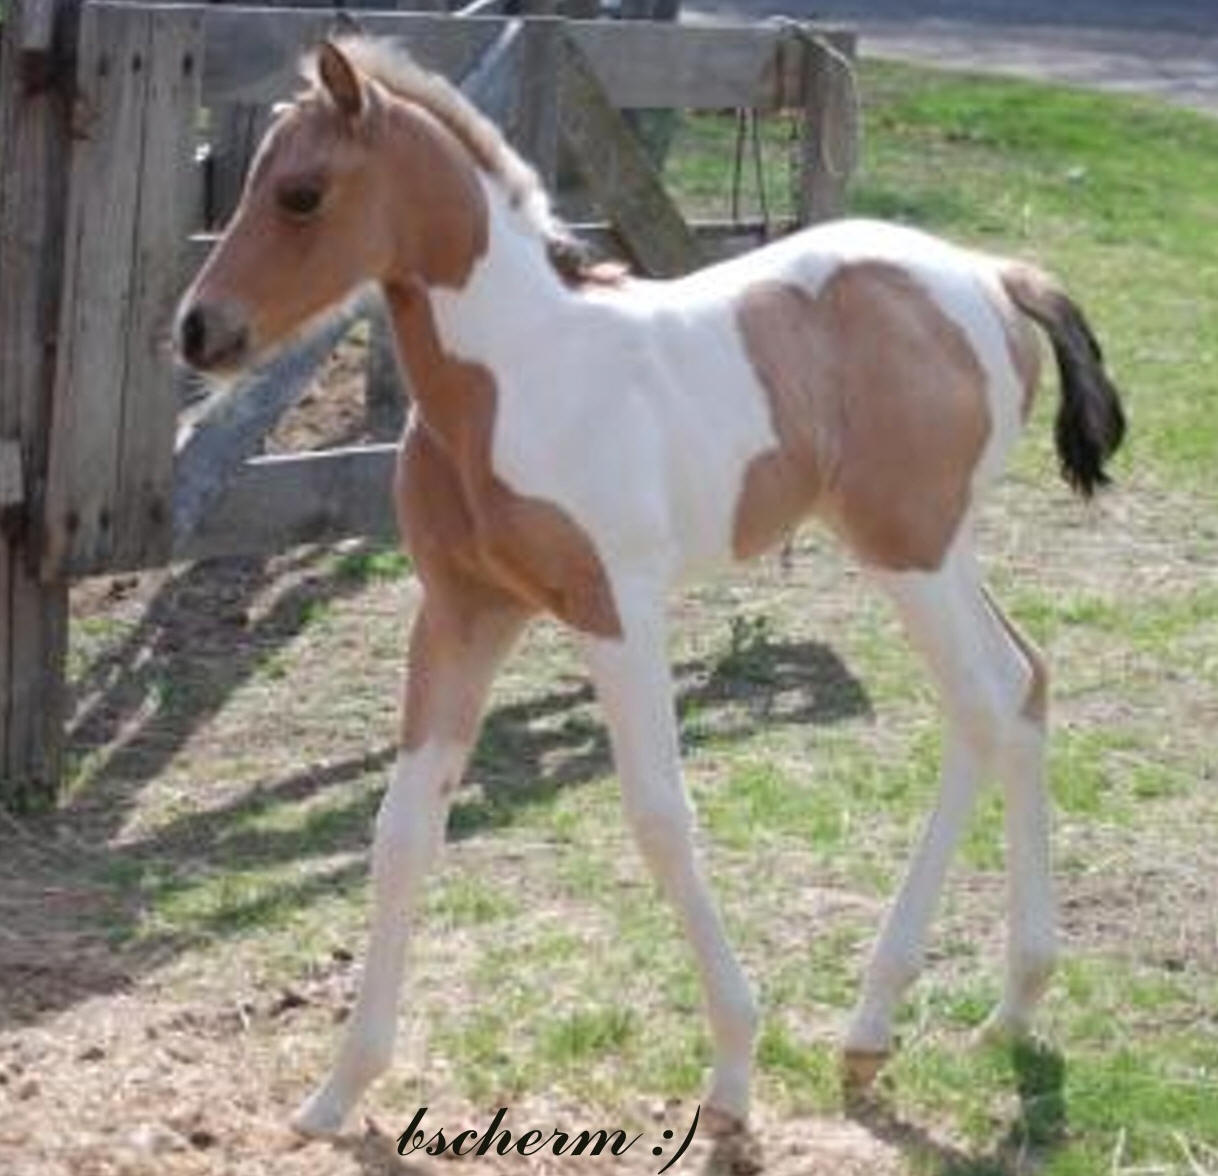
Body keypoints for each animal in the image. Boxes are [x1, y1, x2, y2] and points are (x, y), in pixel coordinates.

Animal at [175, 38, 1126, 1137]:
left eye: (300, 193)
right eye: (250, 181)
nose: (197, 331)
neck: (520, 376)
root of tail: (993, 277)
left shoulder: (617, 606)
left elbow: (660, 817)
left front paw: (733, 1073)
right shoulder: (461, 611)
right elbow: (403, 830)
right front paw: (337, 1092)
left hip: (909, 551)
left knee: (980, 702)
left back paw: (887, 1020)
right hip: (935, 546)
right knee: (1020, 686)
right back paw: (998, 1006)